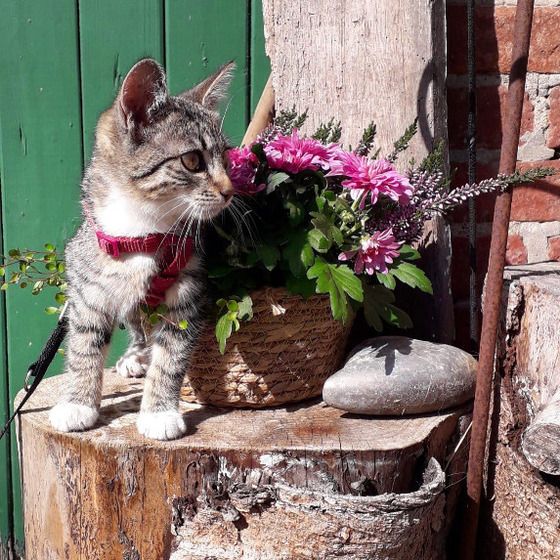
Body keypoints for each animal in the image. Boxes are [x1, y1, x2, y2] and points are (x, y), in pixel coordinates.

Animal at [49, 58, 235, 440]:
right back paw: (134, 356)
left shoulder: (190, 284)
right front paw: (77, 403)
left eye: (225, 157)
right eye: (192, 160)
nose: (230, 190)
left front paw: (159, 412)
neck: (140, 233)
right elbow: (83, 344)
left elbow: (172, 353)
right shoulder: (87, 280)